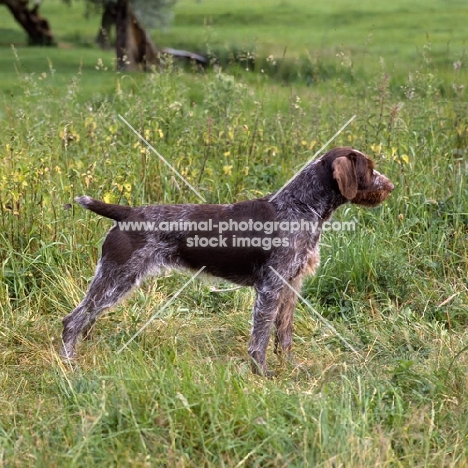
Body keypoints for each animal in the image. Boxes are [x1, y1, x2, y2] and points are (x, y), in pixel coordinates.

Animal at [60, 146, 394, 372]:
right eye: (369, 169)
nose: (391, 186)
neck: (301, 206)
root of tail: (127, 213)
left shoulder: (291, 285)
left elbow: (284, 333)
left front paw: (290, 366)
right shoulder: (270, 288)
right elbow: (260, 337)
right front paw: (262, 374)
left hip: (115, 280)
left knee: (87, 317)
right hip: (117, 277)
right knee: (73, 319)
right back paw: (69, 362)